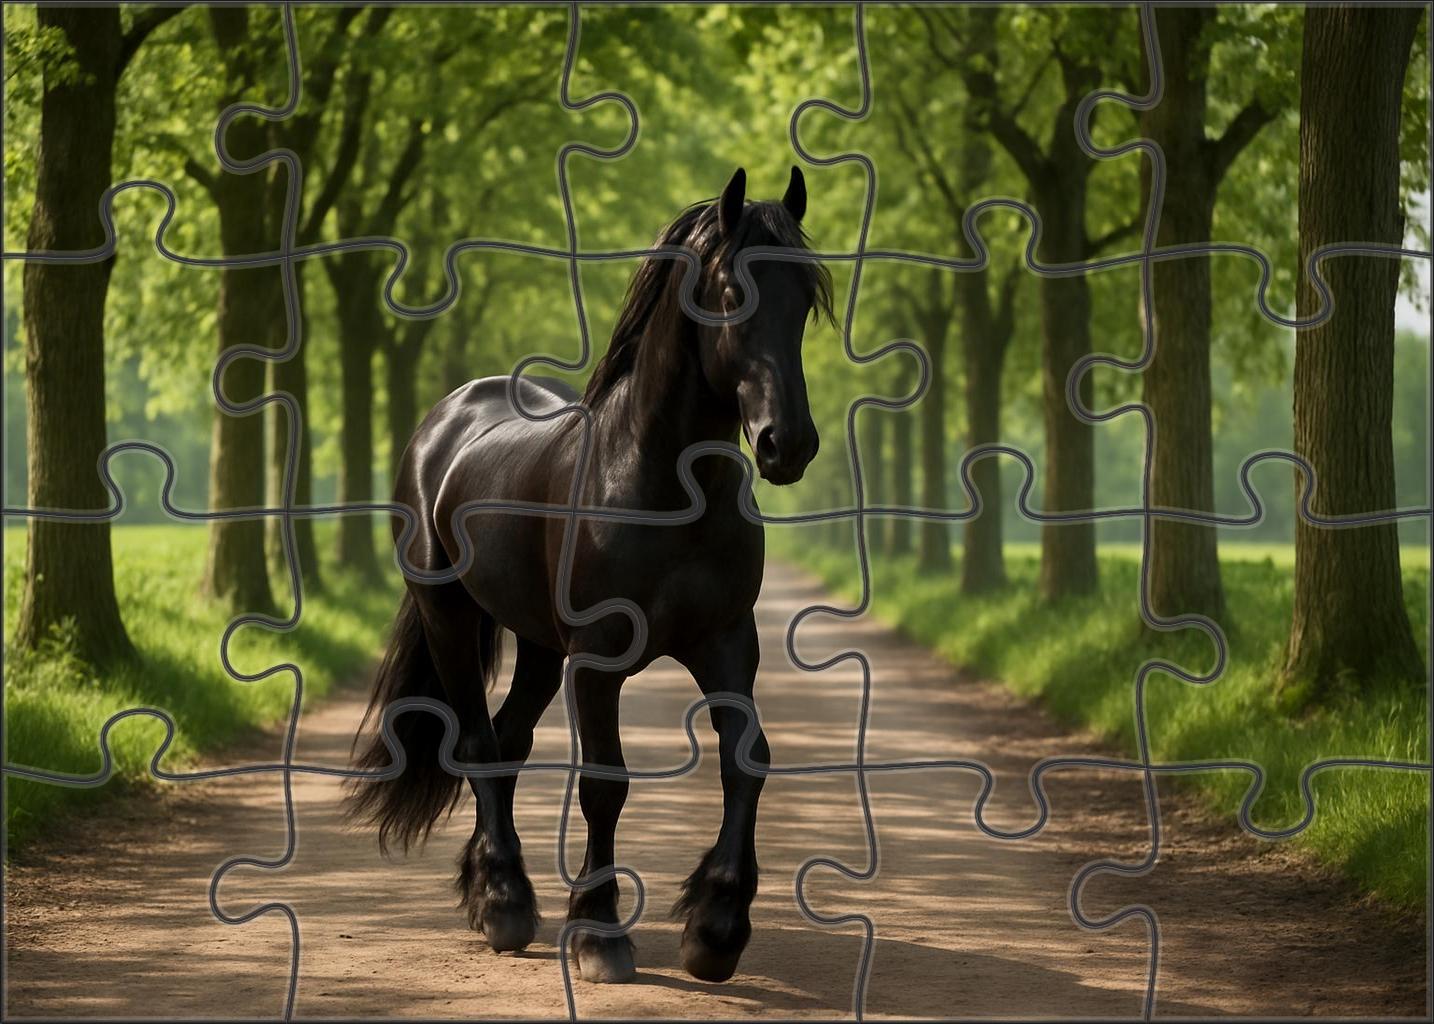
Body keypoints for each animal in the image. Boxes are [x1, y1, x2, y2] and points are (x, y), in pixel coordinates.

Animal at [347, 166, 833, 985]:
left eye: (804, 296)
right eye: (731, 291)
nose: (786, 444)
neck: (663, 484)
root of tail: (446, 421)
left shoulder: (727, 643)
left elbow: (748, 763)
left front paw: (716, 929)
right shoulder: (599, 662)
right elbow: (605, 783)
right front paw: (601, 936)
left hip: (542, 648)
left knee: (508, 740)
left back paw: (492, 888)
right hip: (450, 619)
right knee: (478, 744)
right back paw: (504, 905)